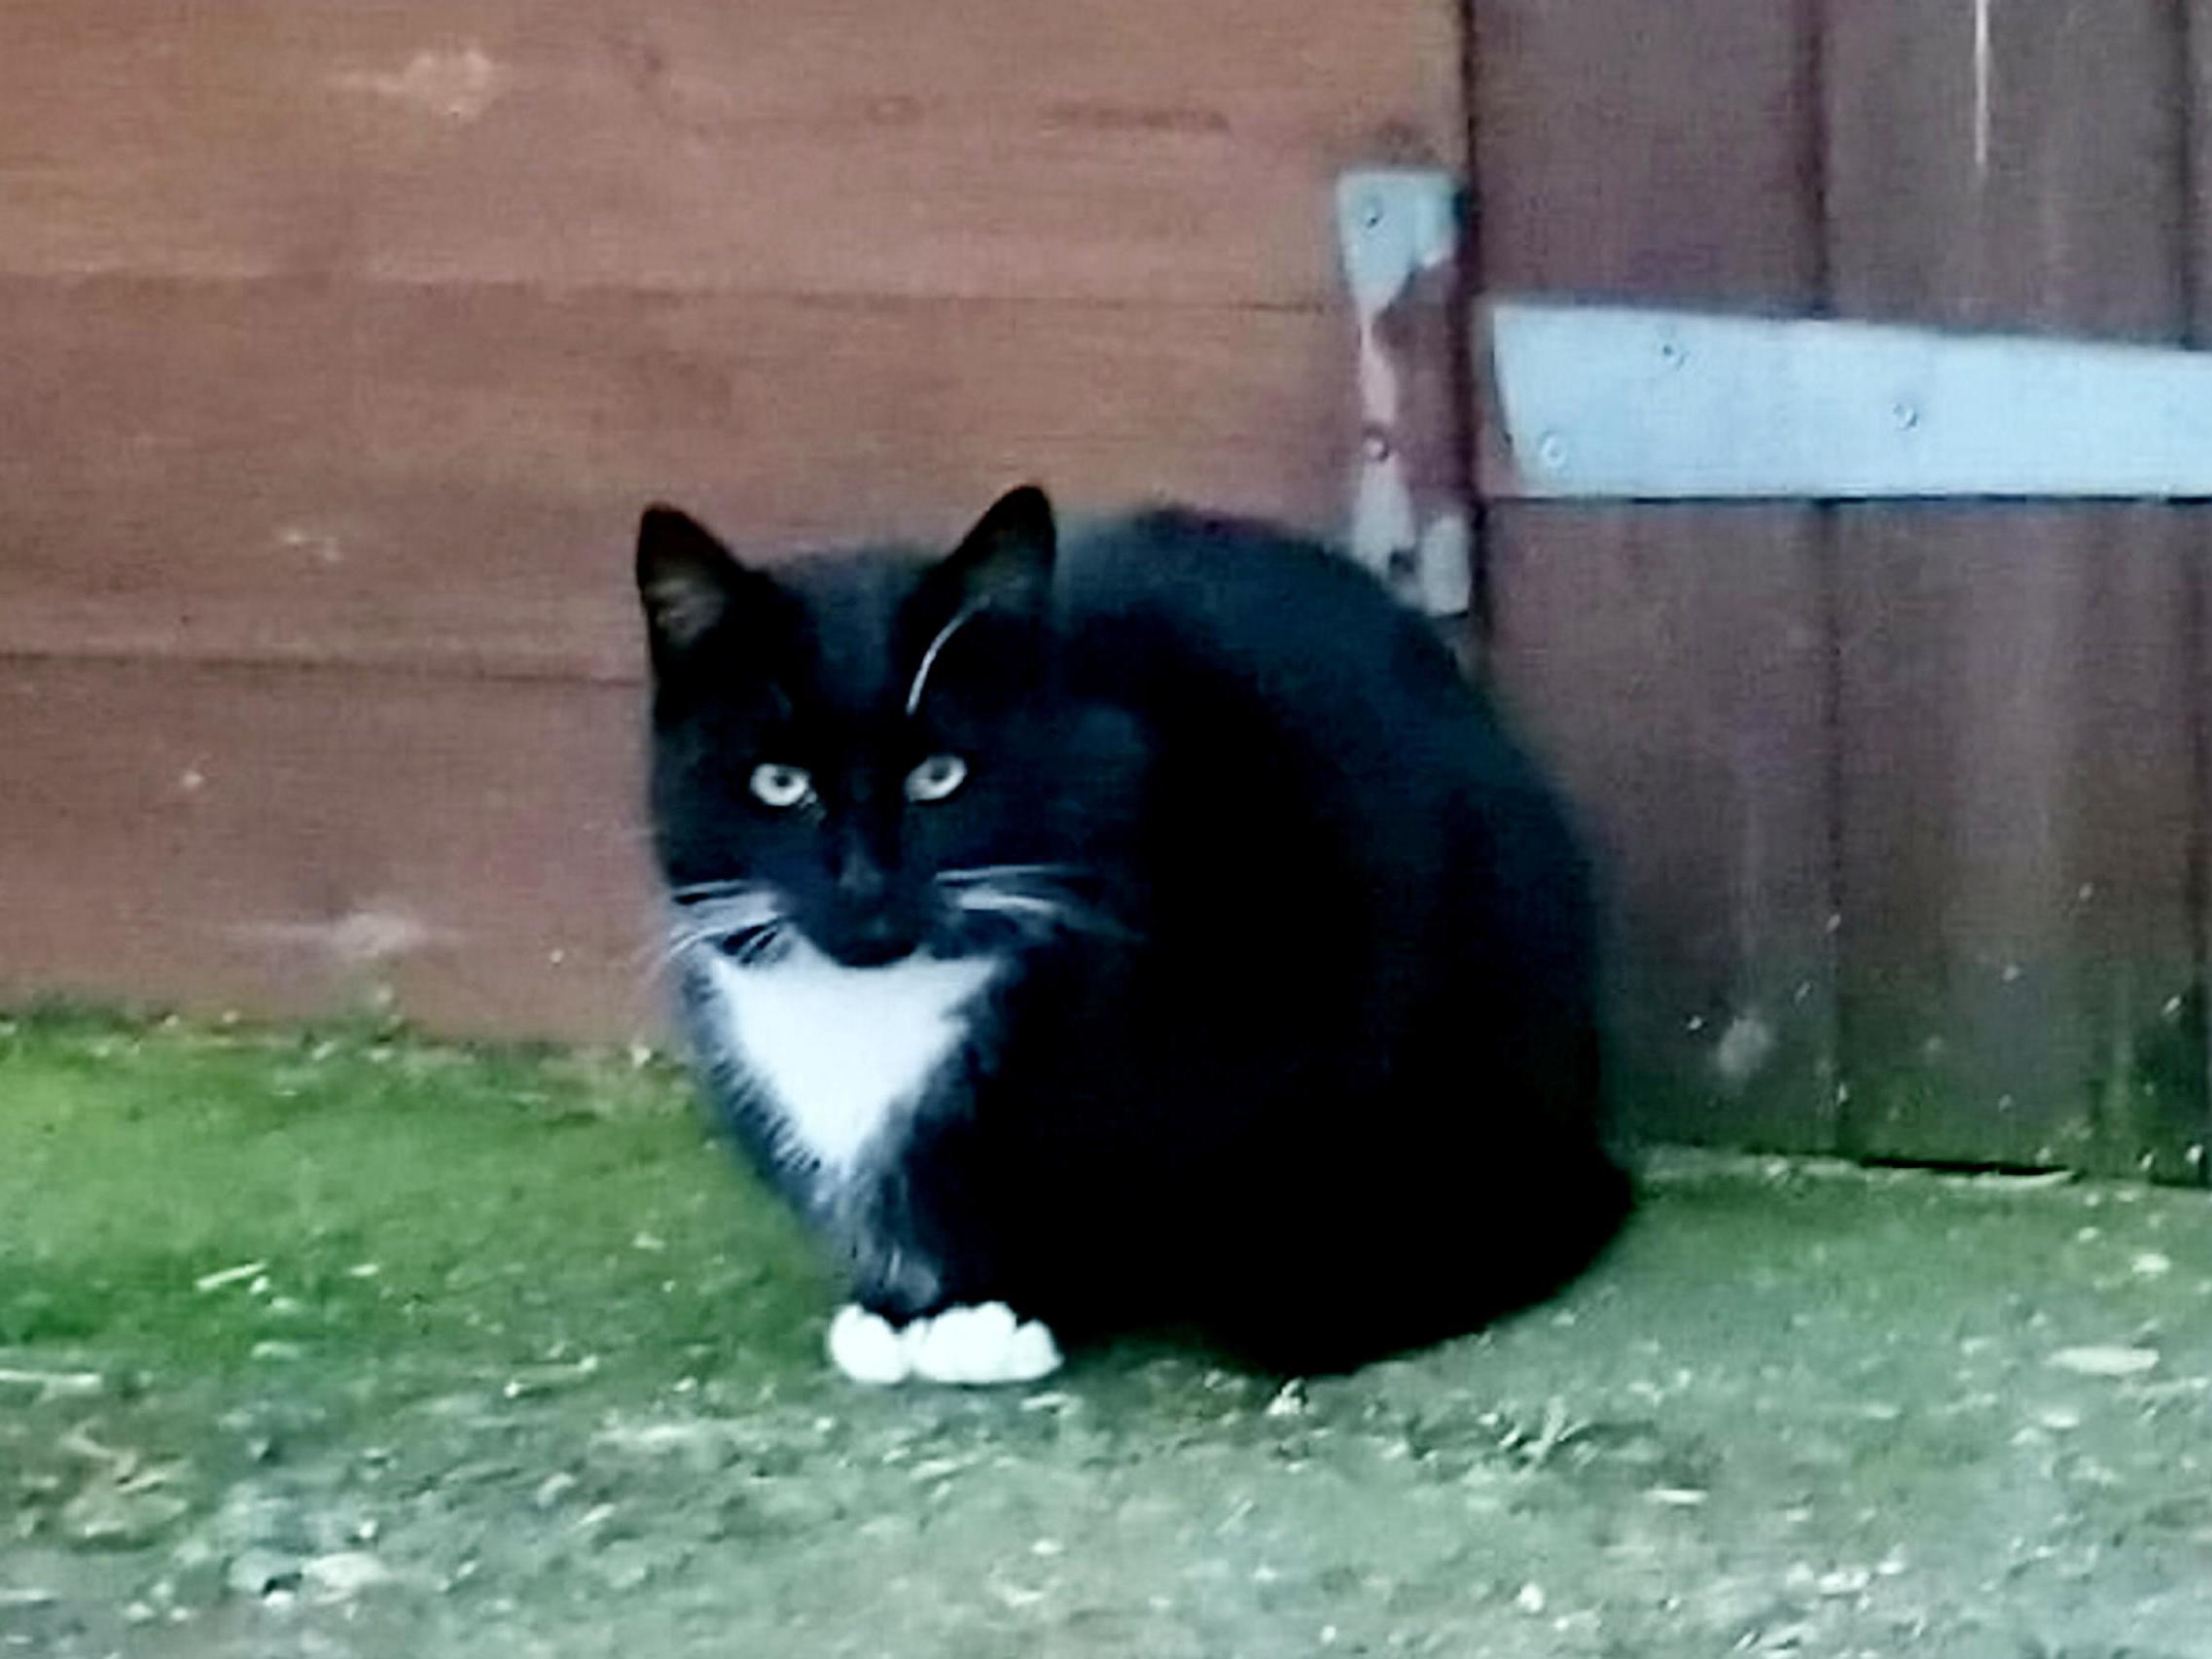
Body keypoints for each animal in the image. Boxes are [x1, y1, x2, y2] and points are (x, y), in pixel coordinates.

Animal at [632, 484, 1636, 1389]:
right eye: (779, 785)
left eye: (939, 776)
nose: (864, 887)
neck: (876, 1010)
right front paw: (899, 1306)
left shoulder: (1266, 1003)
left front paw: (1010, 1311)